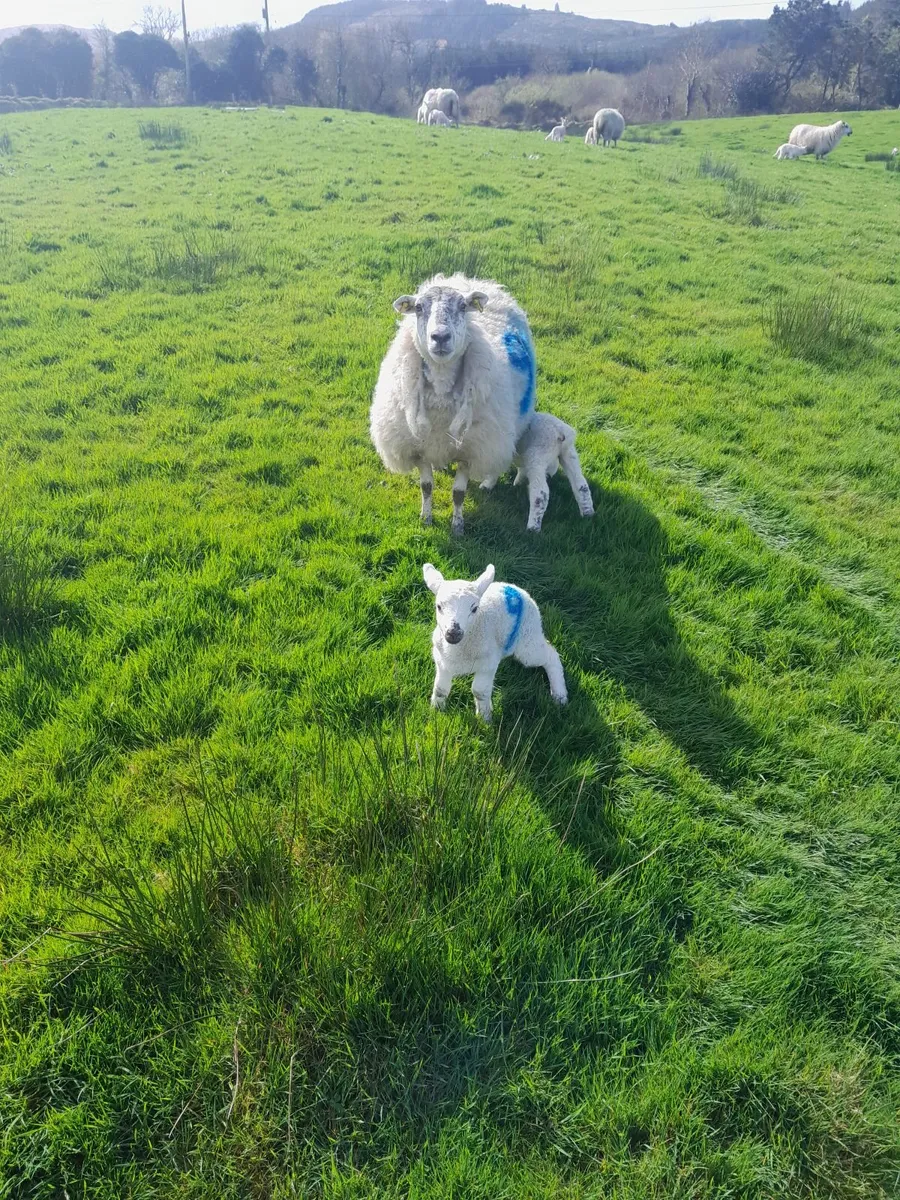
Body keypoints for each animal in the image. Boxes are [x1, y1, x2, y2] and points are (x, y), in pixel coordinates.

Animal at [370, 274, 538, 536]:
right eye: (419, 308)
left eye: (462, 307)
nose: (440, 337)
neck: (440, 390)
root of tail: (469, 280)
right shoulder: (419, 447)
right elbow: (426, 486)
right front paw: (426, 518)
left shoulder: (470, 450)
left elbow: (458, 493)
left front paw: (458, 526)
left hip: (503, 428)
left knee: (499, 455)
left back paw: (488, 482)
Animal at [423, 562, 567, 721]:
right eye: (438, 606)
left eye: (474, 608)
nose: (453, 633)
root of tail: (514, 588)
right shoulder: (442, 661)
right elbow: (440, 689)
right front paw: (436, 710)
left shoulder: (489, 663)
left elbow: (479, 691)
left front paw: (485, 718)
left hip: (528, 639)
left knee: (550, 654)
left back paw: (560, 695)